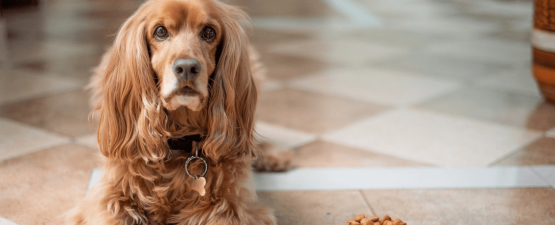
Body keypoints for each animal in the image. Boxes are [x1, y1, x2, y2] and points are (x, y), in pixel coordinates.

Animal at [67, 0, 288, 224]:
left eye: (209, 32)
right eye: (160, 31)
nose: (187, 68)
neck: (181, 135)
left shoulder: (233, 206)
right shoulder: (110, 198)